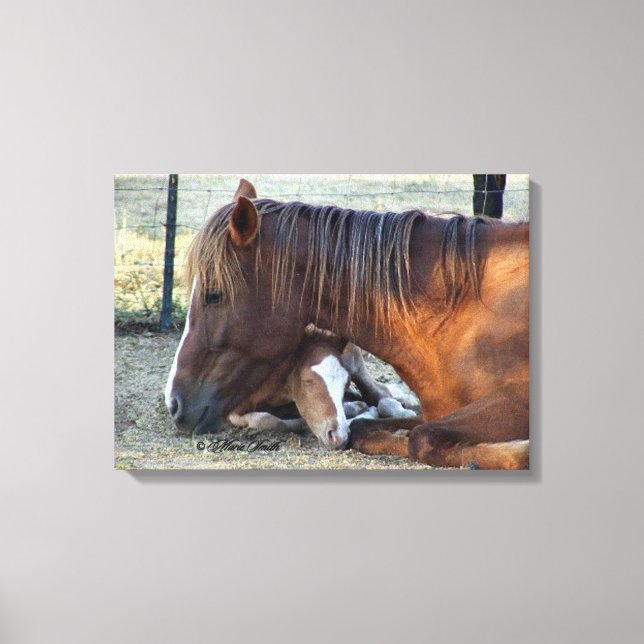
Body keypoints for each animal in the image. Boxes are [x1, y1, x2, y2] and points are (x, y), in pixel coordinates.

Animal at [165, 178, 529, 469]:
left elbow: (420, 437)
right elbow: (369, 431)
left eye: (214, 294)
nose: (173, 402)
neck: (462, 309)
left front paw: (519, 451)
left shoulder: (517, 399)